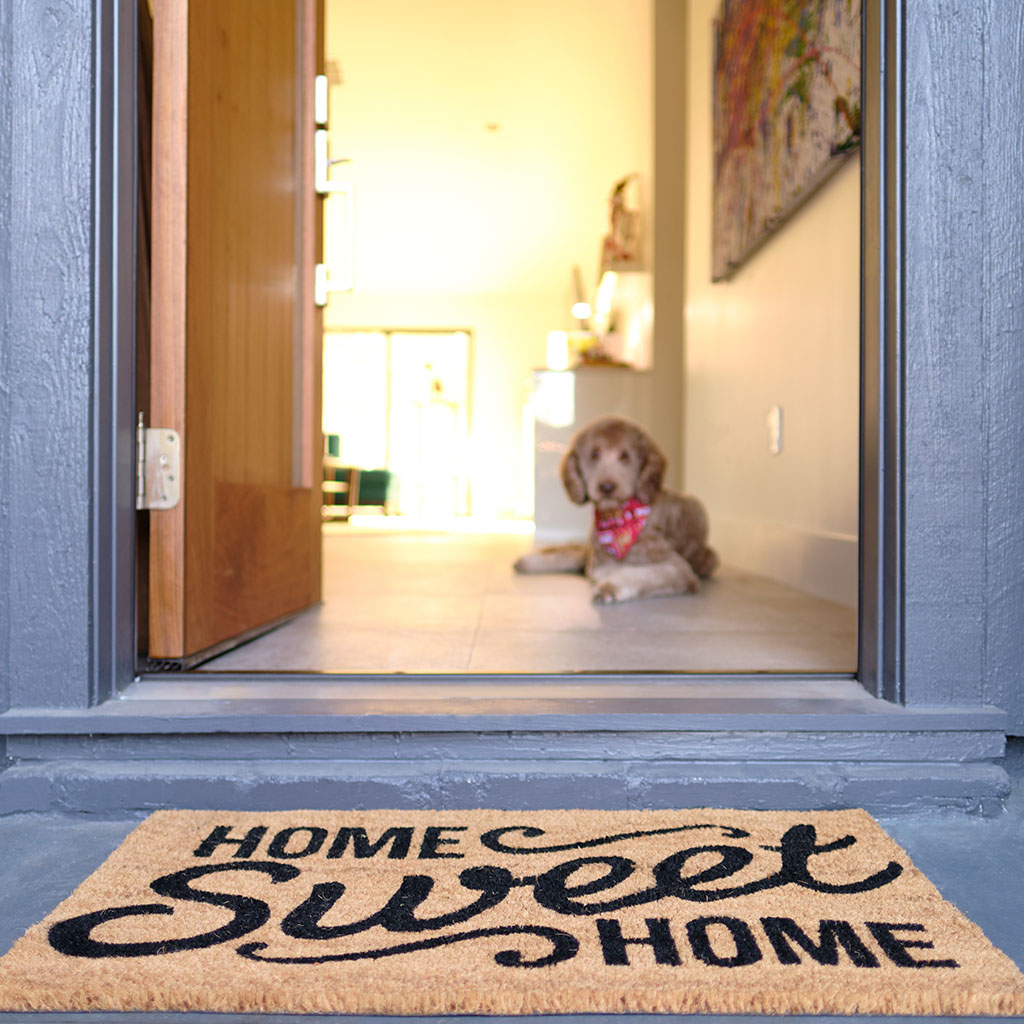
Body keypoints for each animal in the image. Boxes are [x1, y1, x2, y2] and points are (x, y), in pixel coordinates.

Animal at [516, 415, 716, 602]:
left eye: (625, 456)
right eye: (595, 454)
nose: (606, 487)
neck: (619, 518)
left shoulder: (676, 568)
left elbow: (636, 573)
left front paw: (609, 586)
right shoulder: (598, 559)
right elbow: (601, 568)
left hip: (708, 559)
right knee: (572, 554)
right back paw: (529, 561)